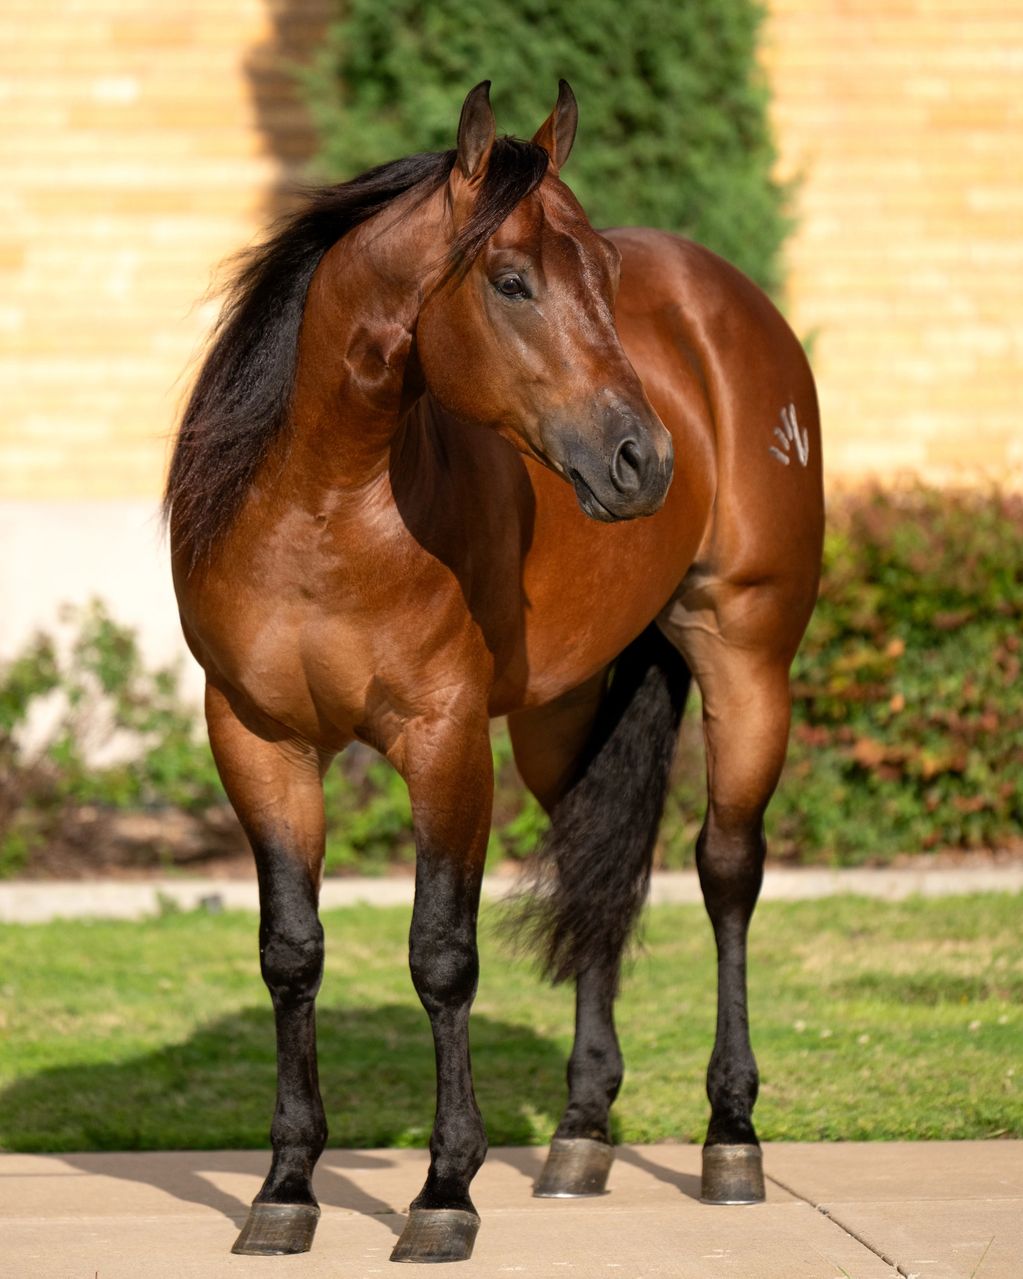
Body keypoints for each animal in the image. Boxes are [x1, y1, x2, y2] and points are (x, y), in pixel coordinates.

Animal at [165, 80, 823, 1264]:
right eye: (511, 280)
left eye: (603, 277)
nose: (644, 461)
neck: (321, 511)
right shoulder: (255, 737)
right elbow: (291, 951)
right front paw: (285, 1188)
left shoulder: (444, 739)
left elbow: (441, 954)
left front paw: (443, 1193)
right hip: (562, 715)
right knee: (600, 875)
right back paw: (580, 1138)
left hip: (749, 662)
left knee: (726, 872)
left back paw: (730, 1138)